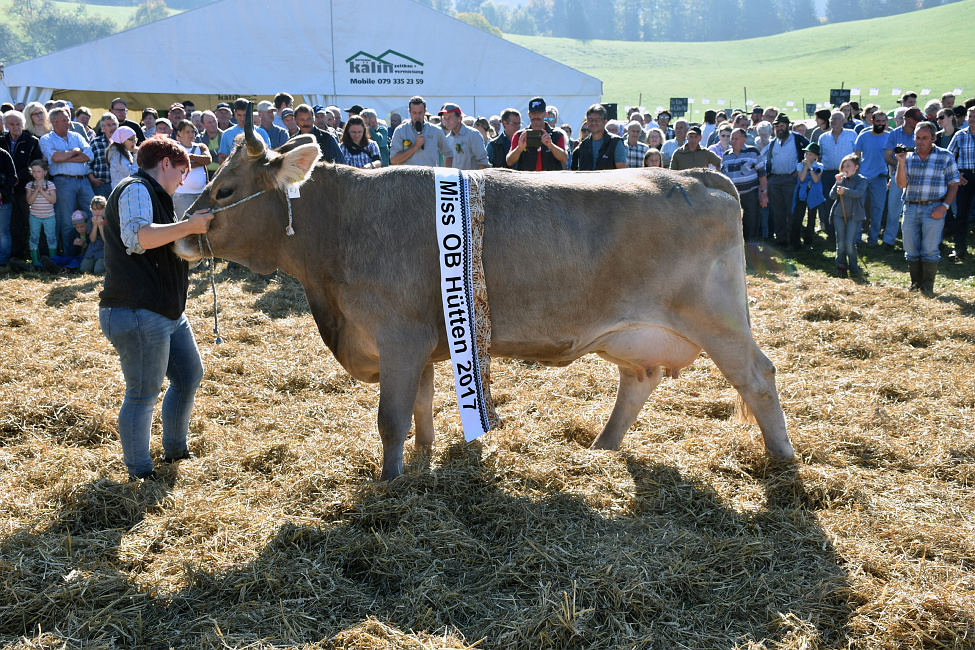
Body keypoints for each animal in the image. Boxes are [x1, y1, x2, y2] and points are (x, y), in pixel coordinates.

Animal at [175, 110, 796, 476]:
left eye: (225, 189)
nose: (182, 231)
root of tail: (698, 175)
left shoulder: (397, 338)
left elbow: (391, 419)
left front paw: (389, 486)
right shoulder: (421, 345)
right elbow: (422, 411)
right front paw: (422, 466)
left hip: (716, 318)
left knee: (759, 375)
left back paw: (785, 462)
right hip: (640, 333)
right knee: (639, 380)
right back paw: (601, 448)